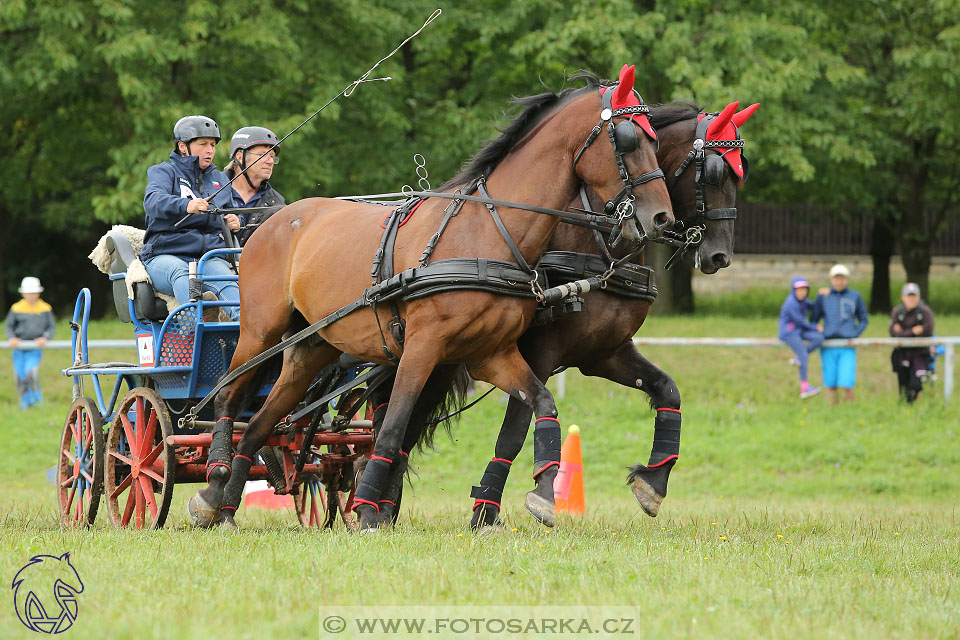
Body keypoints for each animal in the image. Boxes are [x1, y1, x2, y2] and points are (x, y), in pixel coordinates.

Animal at [189, 63, 676, 528]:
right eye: (629, 140)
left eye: (657, 141)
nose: (662, 218)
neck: (487, 233)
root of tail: (271, 220)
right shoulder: (423, 348)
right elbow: (392, 430)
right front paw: (368, 511)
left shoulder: (493, 354)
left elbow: (542, 403)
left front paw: (541, 490)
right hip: (260, 333)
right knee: (229, 398)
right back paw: (212, 483)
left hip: (312, 348)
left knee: (260, 426)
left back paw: (225, 506)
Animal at [360, 95, 756, 528]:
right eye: (715, 173)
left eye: (741, 173)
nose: (720, 255)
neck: (594, 243)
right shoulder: (539, 352)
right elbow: (513, 432)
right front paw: (497, 507)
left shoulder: (604, 353)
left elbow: (667, 389)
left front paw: (653, 482)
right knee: (398, 420)